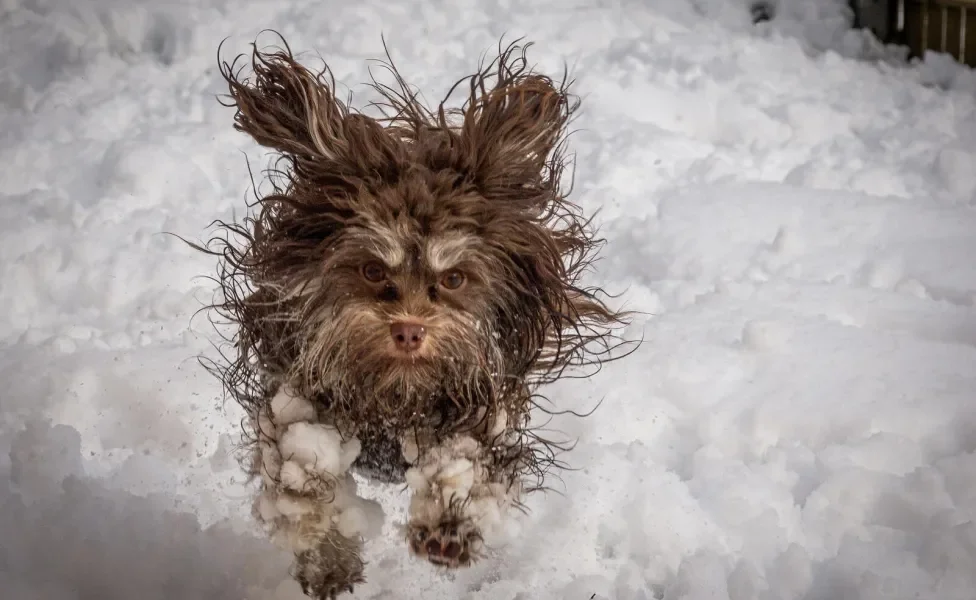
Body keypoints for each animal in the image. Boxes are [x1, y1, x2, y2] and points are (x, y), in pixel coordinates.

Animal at [195, 34, 632, 600]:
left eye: (454, 279)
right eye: (371, 269)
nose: (408, 330)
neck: (395, 396)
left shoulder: (481, 410)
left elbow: (466, 467)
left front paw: (448, 528)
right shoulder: (295, 398)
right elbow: (303, 478)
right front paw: (328, 557)